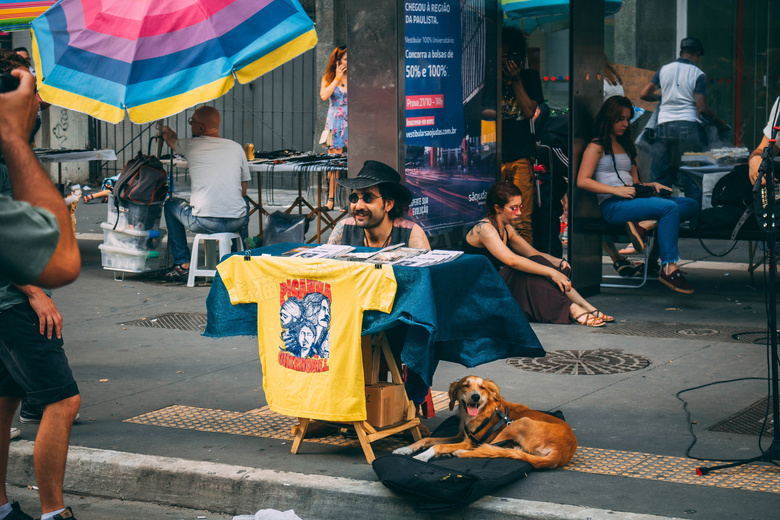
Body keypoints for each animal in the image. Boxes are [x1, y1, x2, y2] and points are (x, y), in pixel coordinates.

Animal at [394, 374, 576, 468]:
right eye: (465, 385)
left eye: (482, 388)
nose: (475, 396)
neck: (481, 412)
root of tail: (564, 451)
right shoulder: (460, 436)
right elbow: (427, 439)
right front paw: (405, 449)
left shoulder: (469, 442)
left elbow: (437, 446)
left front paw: (423, 456)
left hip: (519, 423)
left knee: (488, 447)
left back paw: (456, 453)